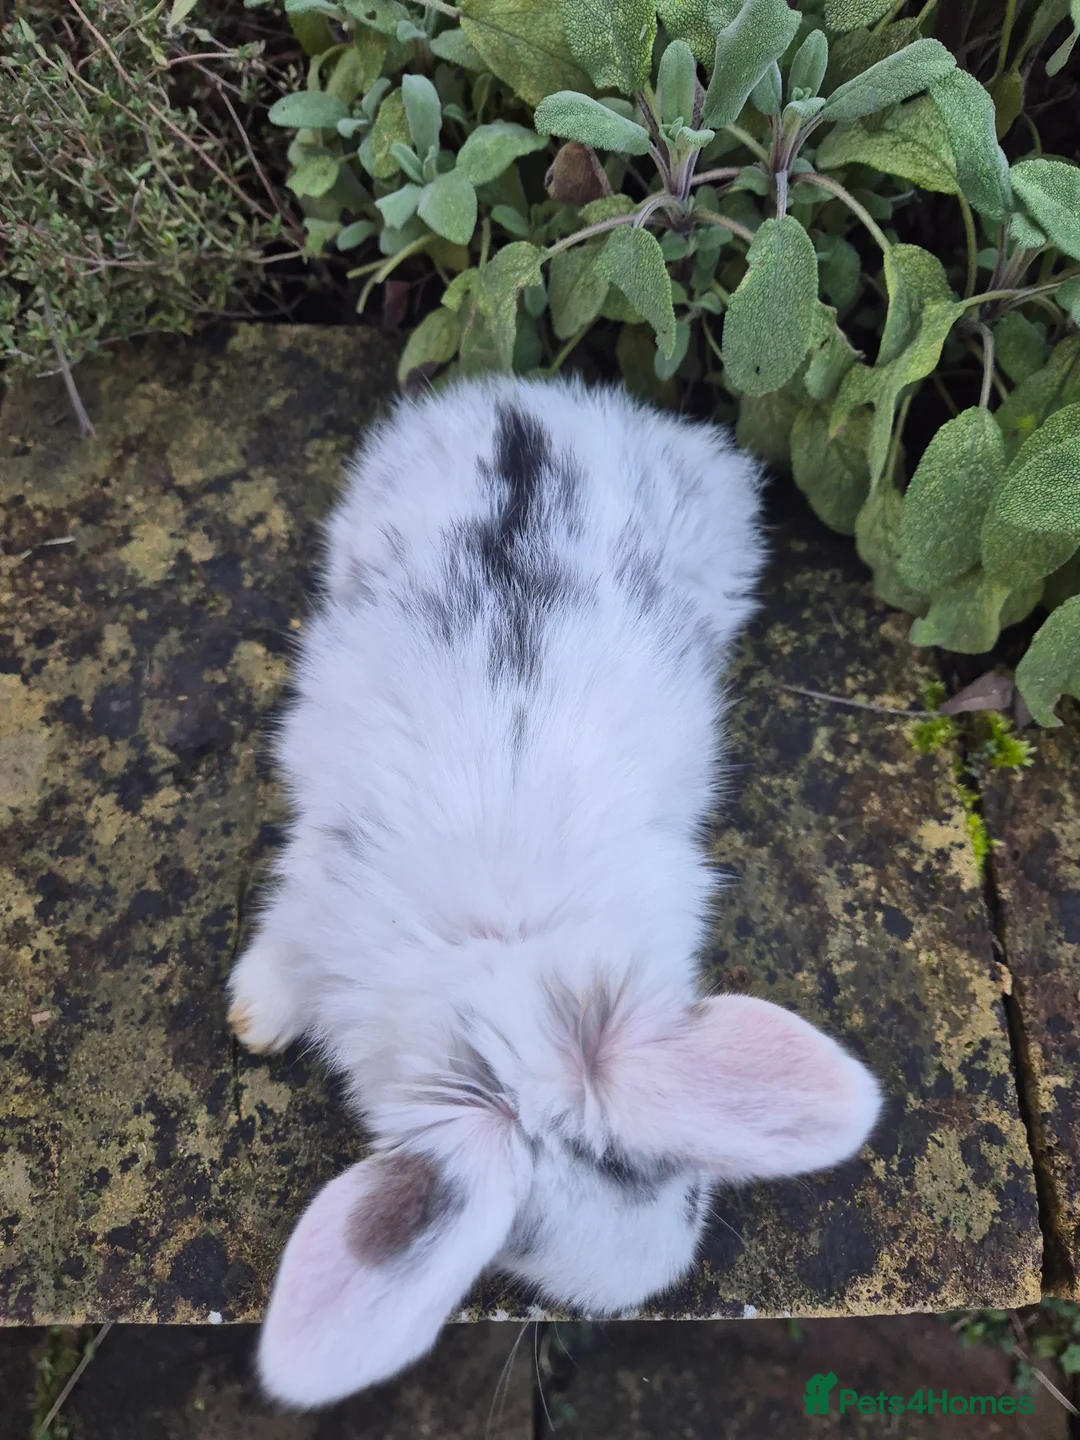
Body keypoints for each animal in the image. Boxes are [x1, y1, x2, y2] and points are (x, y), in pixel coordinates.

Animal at [227, 373, 881, 1410]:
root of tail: (527, 406)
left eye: (691, 1189)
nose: (657, 1275)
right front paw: (256, 1018)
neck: (503, 954)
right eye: (521, 1250)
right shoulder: (314, 881)